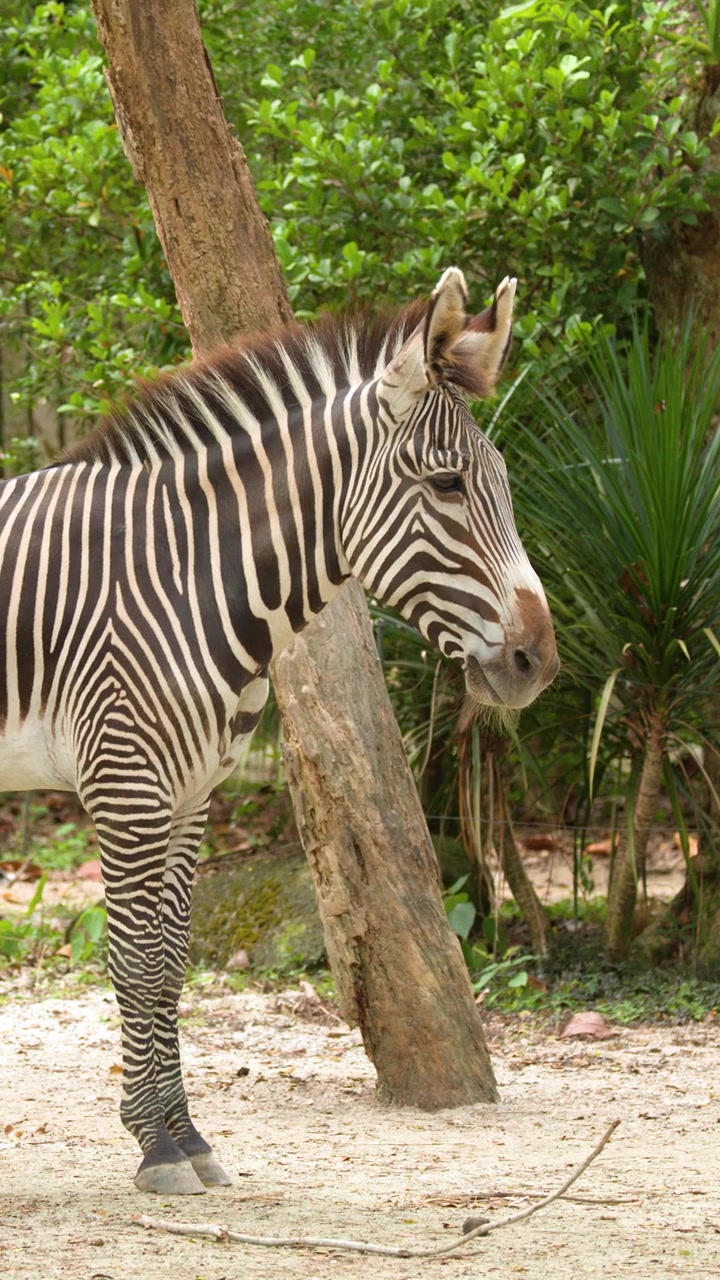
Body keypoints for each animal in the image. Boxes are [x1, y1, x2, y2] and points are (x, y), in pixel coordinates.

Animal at [0, 268, 558, 1194]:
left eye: (509, 484)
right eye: (446, 486)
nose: (537, 662)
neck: (186, 570)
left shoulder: (191, 793)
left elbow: (169, 962)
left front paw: (184, 1136)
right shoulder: (125, 783)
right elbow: (134, 961)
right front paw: (155, 1147)